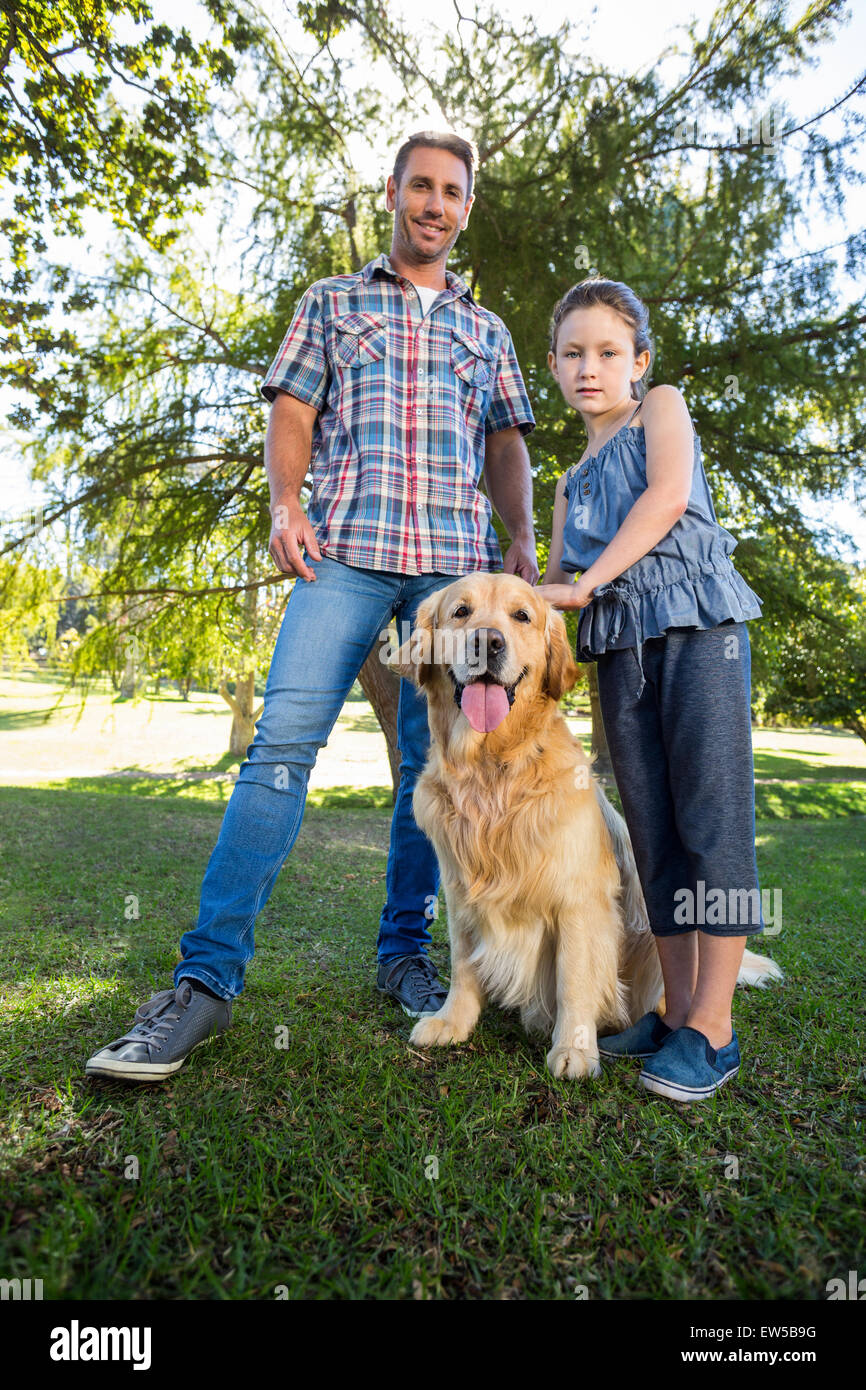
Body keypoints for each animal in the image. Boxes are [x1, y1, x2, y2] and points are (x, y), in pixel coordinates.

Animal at [394, 569, 783, 1078]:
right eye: (461, 612)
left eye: (522, 615)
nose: (487, 642)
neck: (495, 768)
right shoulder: (460, 892)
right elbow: (463, 964)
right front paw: (453, 1022)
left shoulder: (579, 901)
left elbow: (573, 978)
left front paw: (575, 1048)